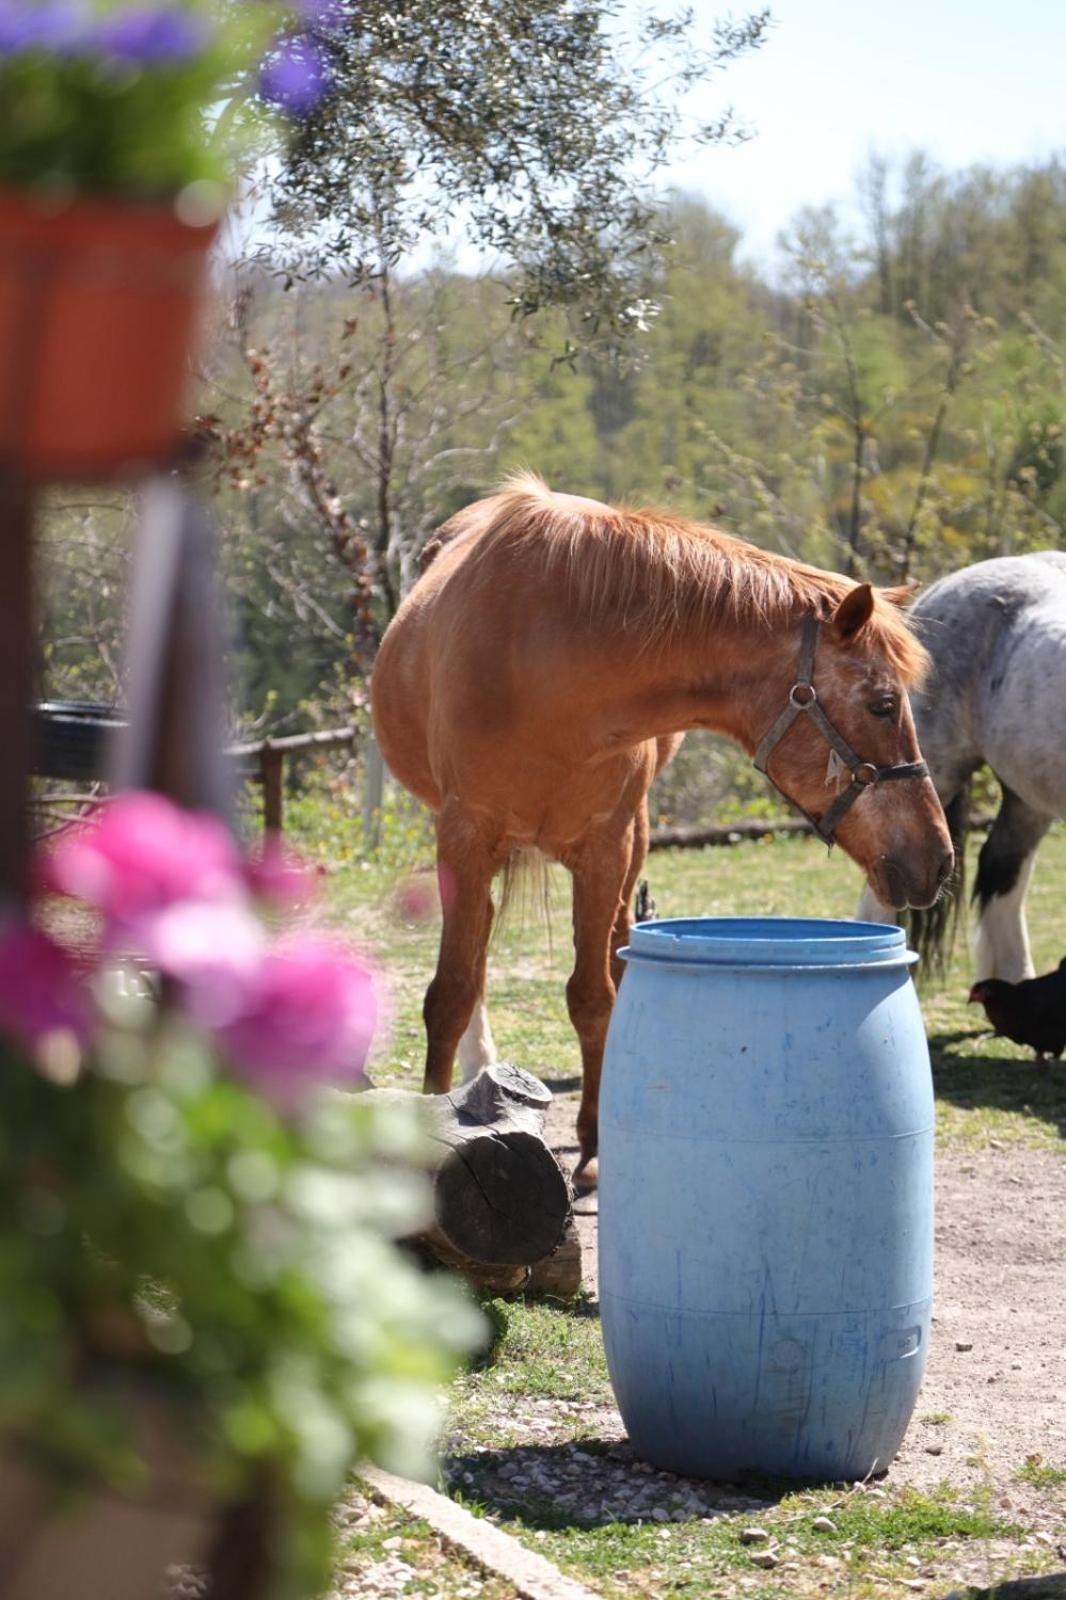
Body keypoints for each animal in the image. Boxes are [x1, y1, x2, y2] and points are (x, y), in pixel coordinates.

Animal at [371, 473, 947, 1190]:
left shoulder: (605, 847)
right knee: (476, 959)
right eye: (883, 703)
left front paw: (595, 1147)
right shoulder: (463, 835)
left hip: (633, 843)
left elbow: (593, 997)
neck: (542, 660)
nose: (939, 858)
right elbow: (449, 994)